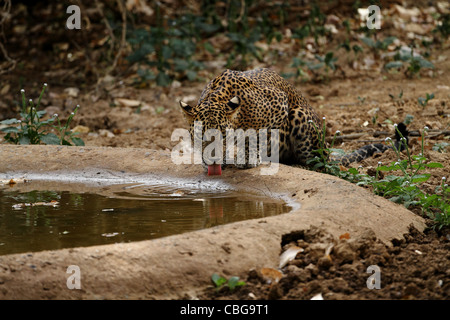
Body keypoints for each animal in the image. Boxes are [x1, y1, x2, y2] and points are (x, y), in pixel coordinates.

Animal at [179, 68, 408, 172]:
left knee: (318, 163)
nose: (212, 160)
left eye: (223, 135)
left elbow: (255, 137)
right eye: (199, 136)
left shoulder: (279, 105)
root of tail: (326, 149)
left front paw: (249, 157)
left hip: (300, 116)